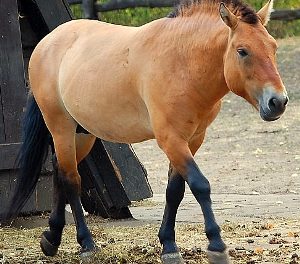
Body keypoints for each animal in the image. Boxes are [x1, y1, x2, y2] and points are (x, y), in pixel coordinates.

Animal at [2, 0, 288, 262]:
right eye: (242, 51)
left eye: (273, 47)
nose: (278, 102)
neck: (182, 63)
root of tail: (46, 43)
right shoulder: (171, 140)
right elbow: (200, 185)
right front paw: (216, 244)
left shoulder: (192, 140)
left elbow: (175, 191)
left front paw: (169, 245)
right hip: (61, 126)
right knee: (71, 179)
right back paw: (86, 244)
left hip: (82, 134)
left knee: (60, 171)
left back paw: (52, 239)